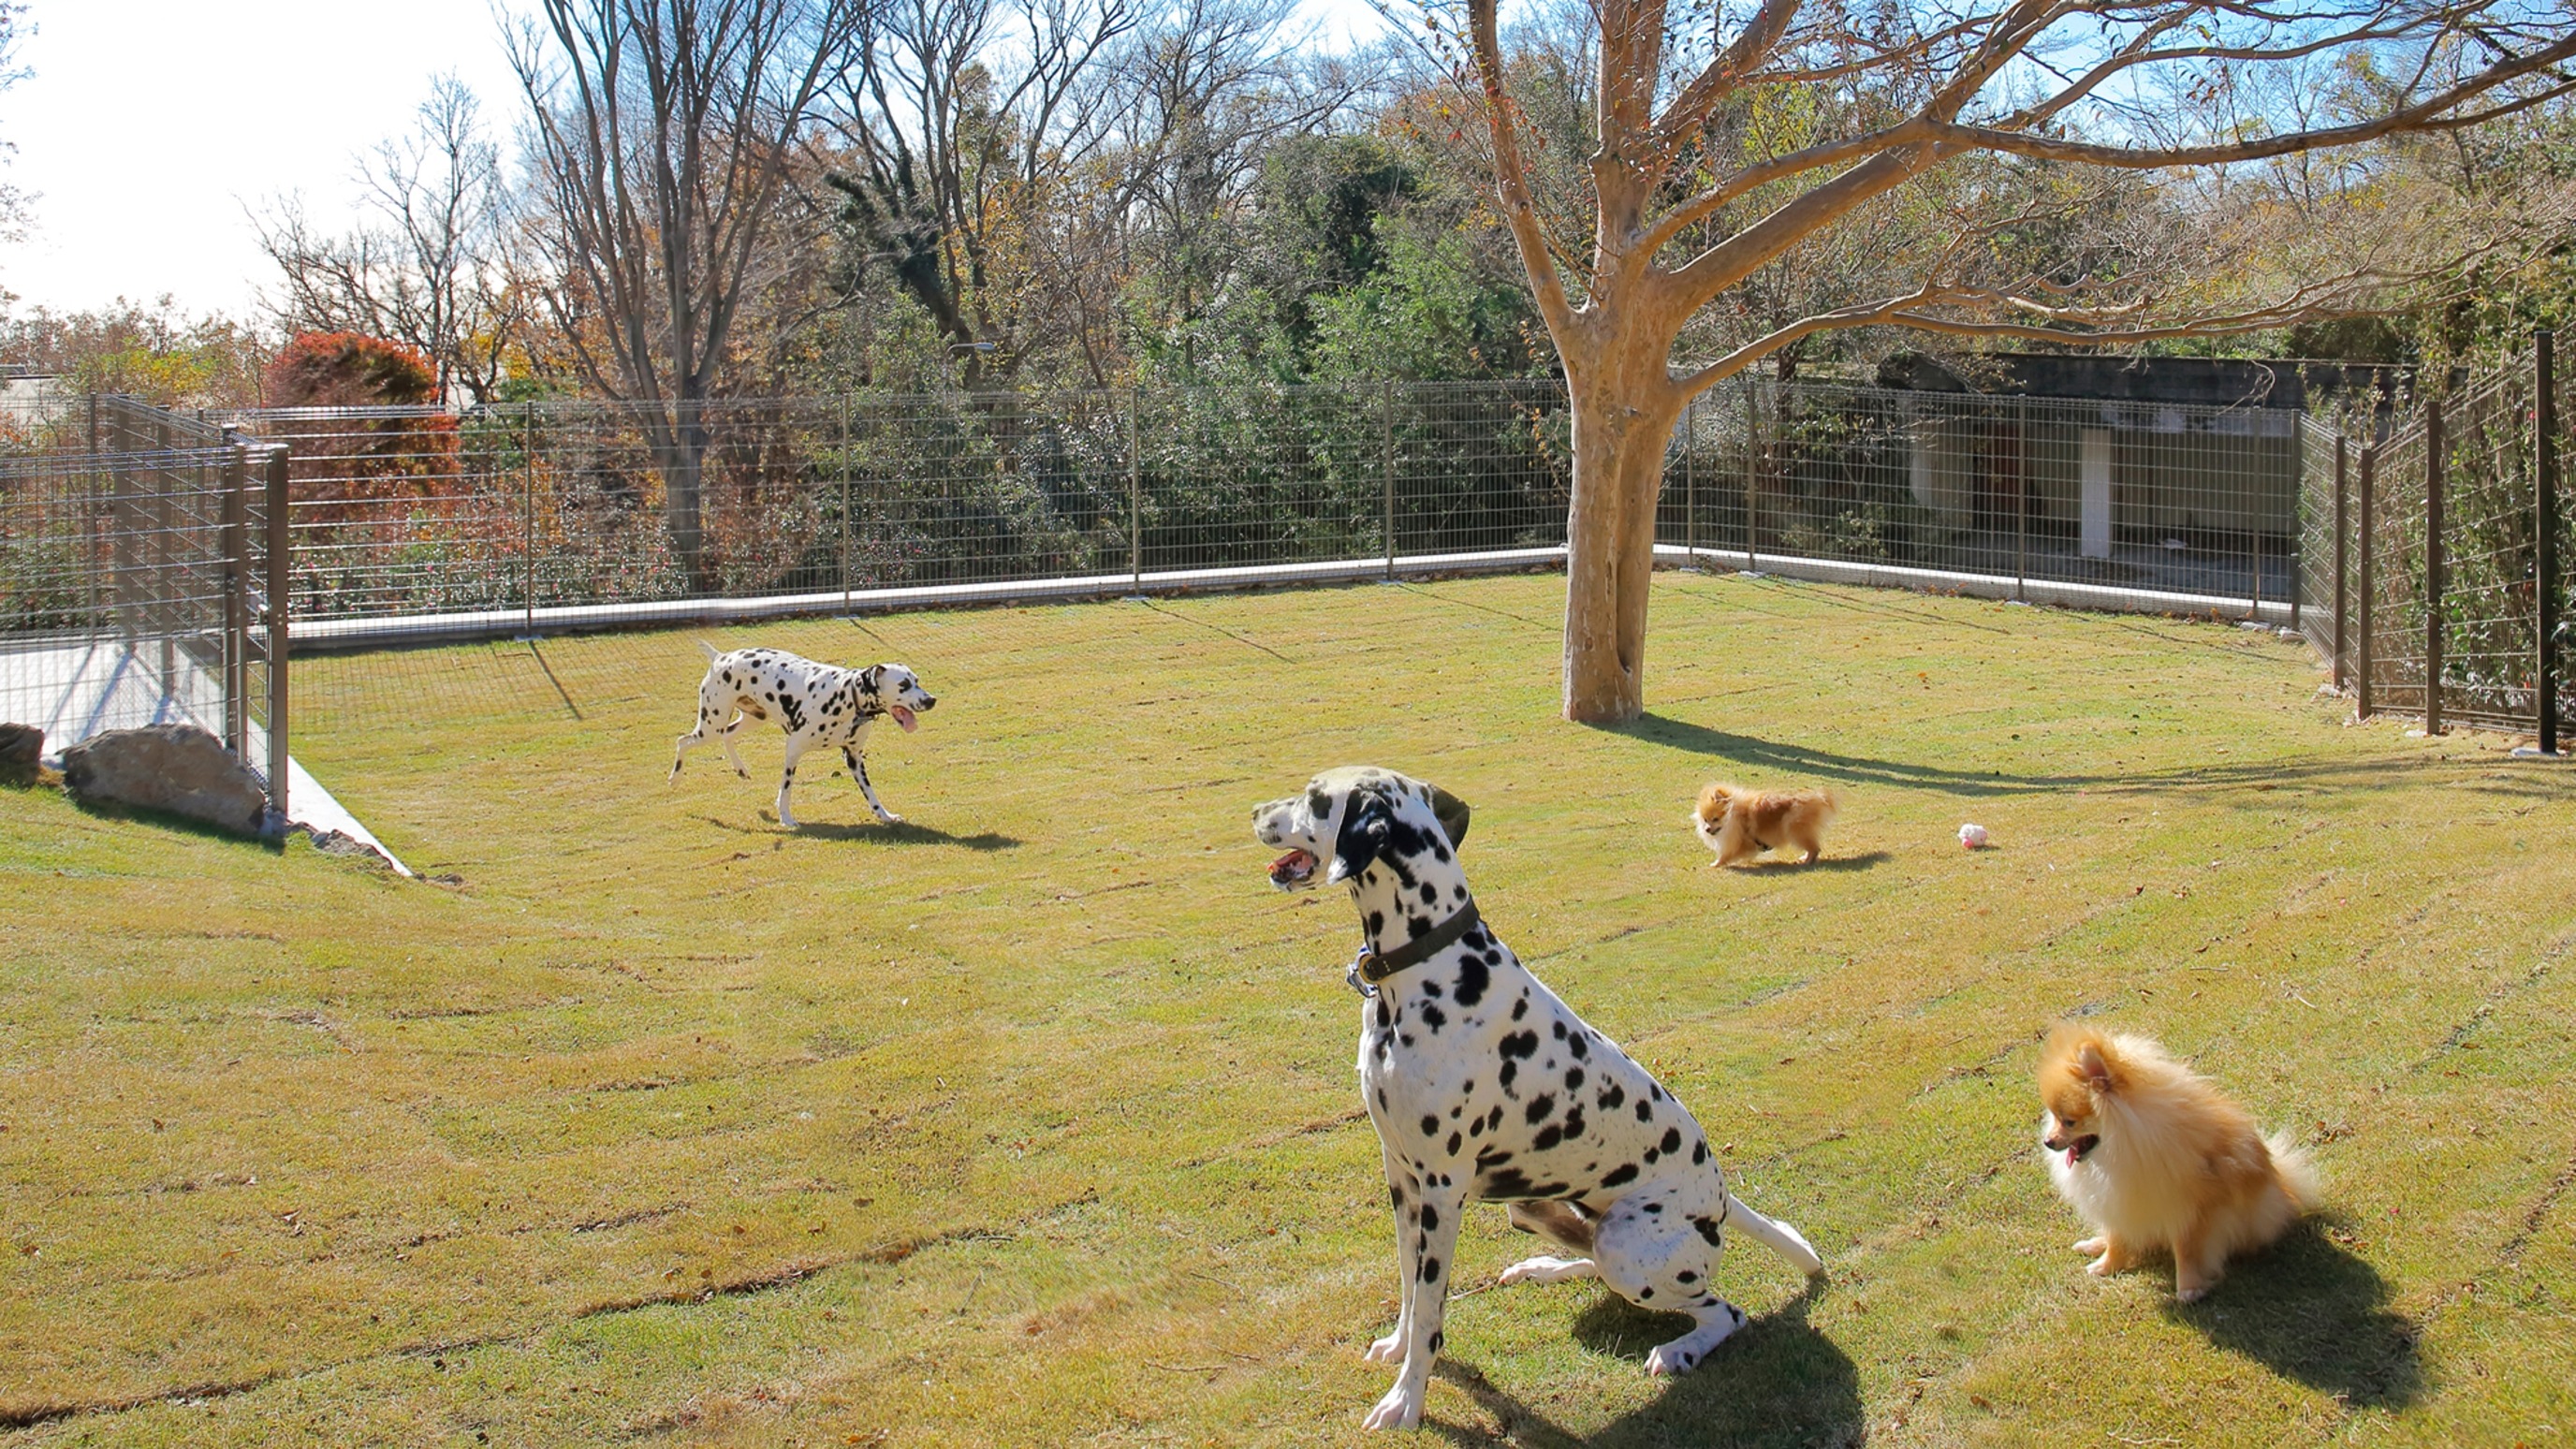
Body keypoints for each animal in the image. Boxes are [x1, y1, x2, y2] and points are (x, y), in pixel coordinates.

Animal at [675, 639, 937, 825]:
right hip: (711, 725)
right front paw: (786, 818)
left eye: (917, 680)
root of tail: (721, 657)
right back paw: (675, 776)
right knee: (683, 741)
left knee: (728, 735)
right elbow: (787, 788)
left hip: (753, 718)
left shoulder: (854, 758)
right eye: (903, 685)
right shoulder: (793, 750)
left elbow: (870, 793)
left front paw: (884, 815)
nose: (931, 700)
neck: (847, 697)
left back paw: (740, 769)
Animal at [1690, 778, 1834, 856]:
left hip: (1796, 830)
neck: (1735, 812)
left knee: (1813, 848)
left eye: (1716, 819)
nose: (1707, 829)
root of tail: (1817, 797)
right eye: (1705, 820)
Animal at [2040, 1020, 2328, 1304]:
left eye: (2069, 1122)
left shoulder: (2190, 1210)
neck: (2125, 1145)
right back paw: (2093, 1243)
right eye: (2053, 1117)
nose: (2048, 1141)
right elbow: (2117, 1238)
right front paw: (2106, 1265)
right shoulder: (2120, 1200)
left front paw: (2190, 1287)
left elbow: (2187, 1250)